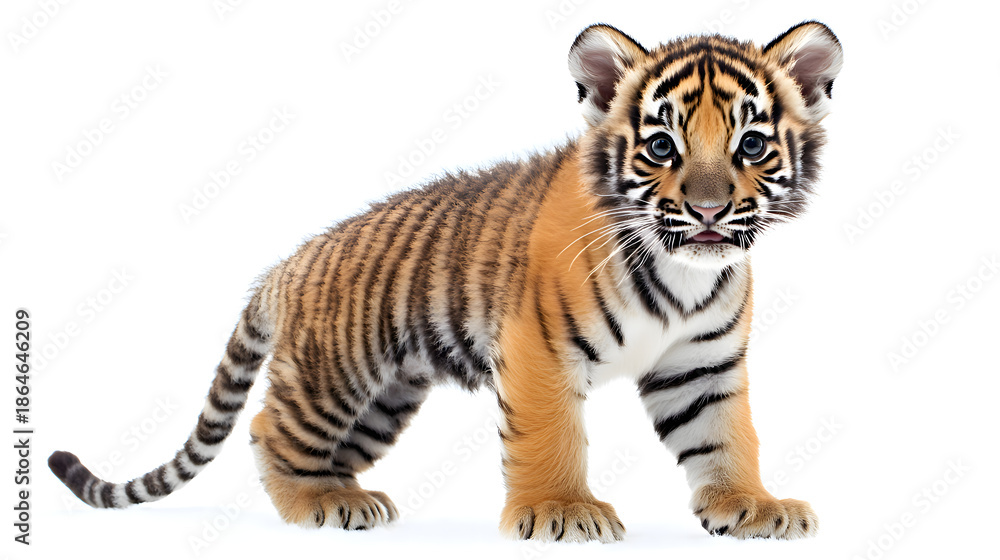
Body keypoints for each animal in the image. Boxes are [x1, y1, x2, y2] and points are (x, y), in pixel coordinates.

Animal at [49, 21, 842, 542]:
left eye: (751, 145)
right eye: (660, 146)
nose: (708, 211)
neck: (682, 272)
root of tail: (289, 262)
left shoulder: (701, 365)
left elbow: (724, 436)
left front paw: (752, 506)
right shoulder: (539, 351)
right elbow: (551, 436)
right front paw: (561, 511)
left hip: (382, 400)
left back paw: (344, 495)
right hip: (333, 375)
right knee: (267, 428)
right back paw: (312, 507)